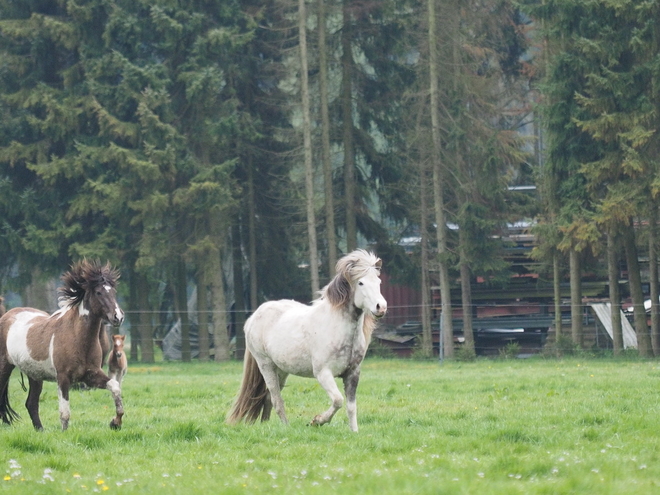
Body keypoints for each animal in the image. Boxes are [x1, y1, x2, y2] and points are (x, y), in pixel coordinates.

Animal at [0, 262, 125, 432]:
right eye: (98, 292)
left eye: (113, 291)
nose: (118, 317)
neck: (77, 338)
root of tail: (6, 315)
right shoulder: (63, 377)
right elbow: (64, 412)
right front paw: (64, 434)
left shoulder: (91, 375)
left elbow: (115, 387)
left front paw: (115, 422)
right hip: (5, 367)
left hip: (35, 375)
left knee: (31, 404)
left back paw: (40, 431)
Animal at [231, 250, 390, 432]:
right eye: (361, 282)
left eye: (378, 281)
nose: (381, 307)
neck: (338, 327)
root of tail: (253, 317)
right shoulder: (323, 373)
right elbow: (338, 400)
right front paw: (317, 421)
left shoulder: (353, 373)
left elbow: (351, 407)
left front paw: (354, 432)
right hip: (266, 366)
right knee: (276, 400)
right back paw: (287, 428)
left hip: (281, 370)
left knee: (268, 398)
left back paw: (268, 426)